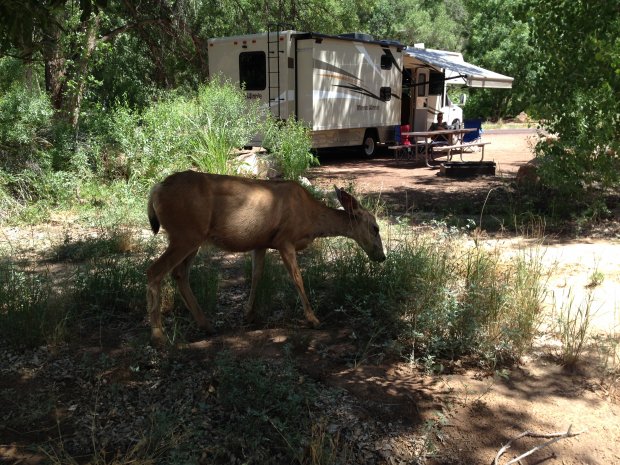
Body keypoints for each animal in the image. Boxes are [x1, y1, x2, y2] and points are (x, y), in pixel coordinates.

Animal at [147, 169, 386, 342]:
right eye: (375, 228)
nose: (382, 257)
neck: (310, 221)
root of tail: (156, 190)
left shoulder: (261, 242)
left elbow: (256, 275)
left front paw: (248, 314)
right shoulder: (285, 240)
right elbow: (297, 278)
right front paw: (313, 319)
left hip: (193, 238)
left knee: (179, 273)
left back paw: (206, 325)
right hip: (185, 234)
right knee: (155, 271)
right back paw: (159, 336)